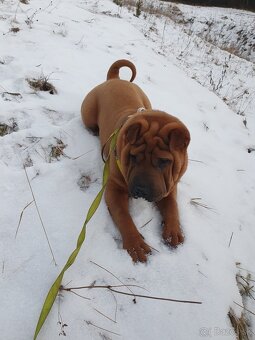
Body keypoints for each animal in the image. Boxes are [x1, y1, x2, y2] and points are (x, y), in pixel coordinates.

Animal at [80, 59, 190, 262]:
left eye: (164, 161)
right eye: (132, 157)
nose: (142, 190)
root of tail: (114, 79)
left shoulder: (170, 185)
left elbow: (172, 206)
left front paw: (173, 232)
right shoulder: (114, 188)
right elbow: (123, 215)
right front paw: (135, 244)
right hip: (88, 111)